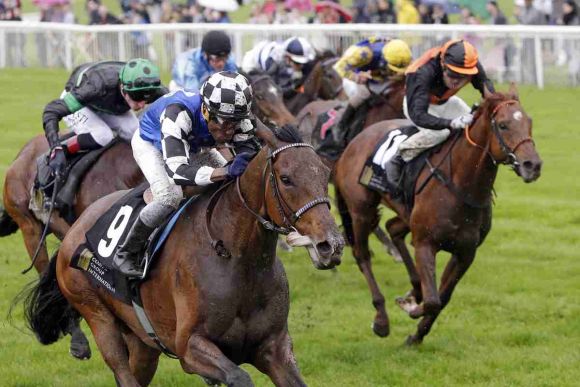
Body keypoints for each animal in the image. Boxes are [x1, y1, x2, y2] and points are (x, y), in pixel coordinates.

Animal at [24, 126, 344, 386]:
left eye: (325, 174)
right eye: (286, 179)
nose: (331, 244)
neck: (237, 258)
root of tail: (75, 230)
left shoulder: (274, 349)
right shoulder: (189, 347)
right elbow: (239, 377)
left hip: (141, 342)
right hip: (96, 314)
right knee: (119, 366)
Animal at [334, 86, 540, 344]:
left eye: (529, 122)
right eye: (503, 125)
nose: (533, 165)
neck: (462, 185)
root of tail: (353, 142)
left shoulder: (466, 252)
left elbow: (443, 297)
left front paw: (415, 335)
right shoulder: (426, 243)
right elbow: (433, 300)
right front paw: (411, 309)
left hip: (405, 213)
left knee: (393, 228)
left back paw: (415, 288)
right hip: (362, 211)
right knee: (362, 255)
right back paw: (381, 319)